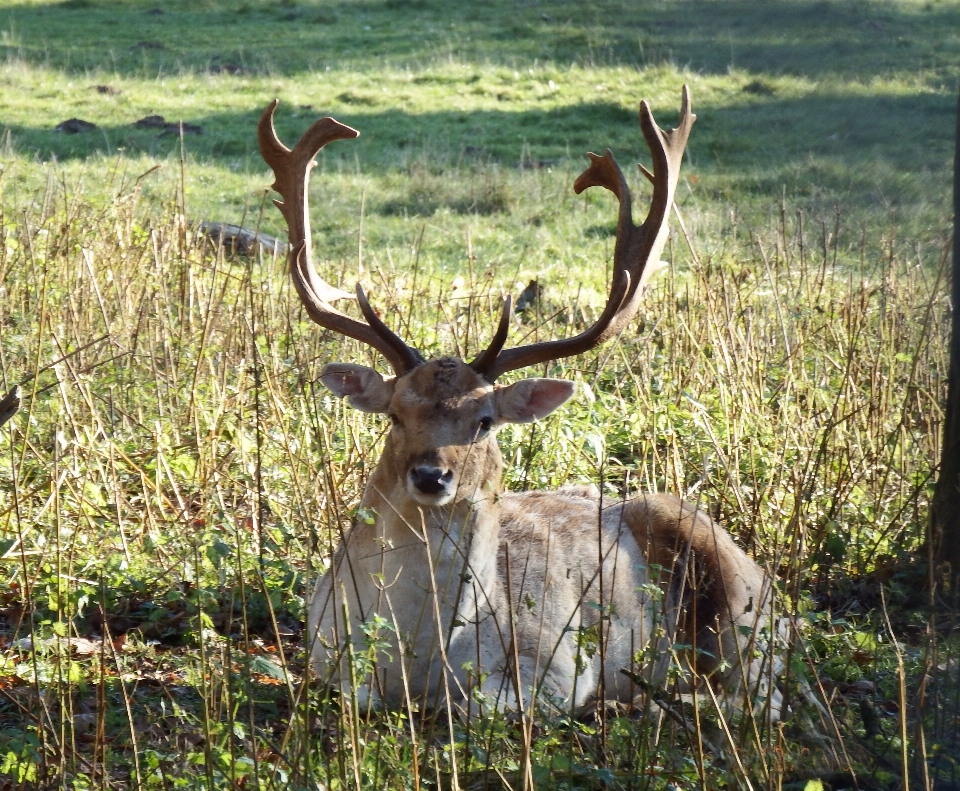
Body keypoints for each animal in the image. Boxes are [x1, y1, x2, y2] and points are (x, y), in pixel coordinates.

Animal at [258, 88, 784, 724]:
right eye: (394, 414)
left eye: (484, 422)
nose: (431, 476)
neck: (416, 661)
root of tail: (779, 595)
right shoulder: (321, 651)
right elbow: (355, 694)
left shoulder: (558, 664)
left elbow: (480, 708)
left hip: (736, 605)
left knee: (760, 695)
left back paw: (651, 701)